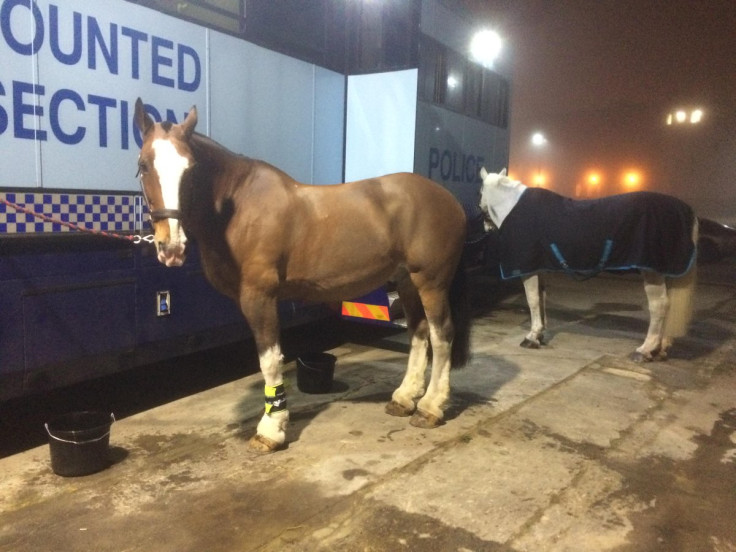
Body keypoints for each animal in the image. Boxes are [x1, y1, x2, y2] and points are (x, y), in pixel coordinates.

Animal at [134, 99, 468, 452]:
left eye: (191, 168)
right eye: (144, 165)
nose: (171, 245)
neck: (239, 207)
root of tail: (451, 200)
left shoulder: (260, 296)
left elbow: (270, 360)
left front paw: (271, 429)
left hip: (431, 281)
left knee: (442, 334)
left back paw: (431, 407)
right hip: (407, 281)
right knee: (419, 332)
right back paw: (405, 399)